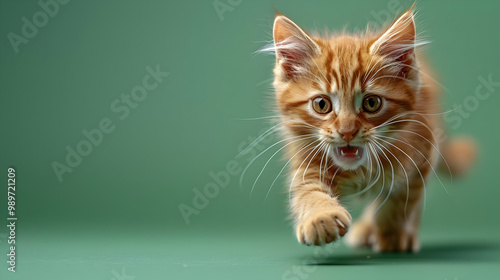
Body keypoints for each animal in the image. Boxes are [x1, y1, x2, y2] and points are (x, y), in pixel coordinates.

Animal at [268, 7, 474, 253]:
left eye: (371, 103)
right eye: (321, 104)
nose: (347, 132)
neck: (358, 170)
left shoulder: (422, 155)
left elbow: (399, 203)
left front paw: (391, 234)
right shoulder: (306, 160)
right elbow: (308, 190)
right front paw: (321, 217)